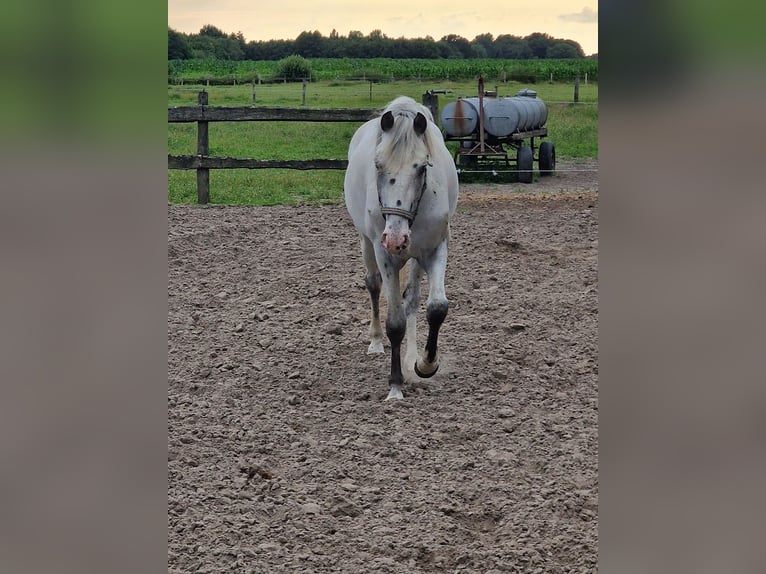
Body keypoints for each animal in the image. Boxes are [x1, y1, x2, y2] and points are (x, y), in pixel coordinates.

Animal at [344, 95, 462, 400]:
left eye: (421, 167)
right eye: (377, 165)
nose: (396, 239)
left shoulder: (435, 248)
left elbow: (436, 308)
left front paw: (425, 364)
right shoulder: (384, 253)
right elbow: (394, 321)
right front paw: (395, 385)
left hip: (415, 256)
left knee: (412, 299)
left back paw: (411, 358)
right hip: (367, 243)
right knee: (373, 285)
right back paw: (375, 342)